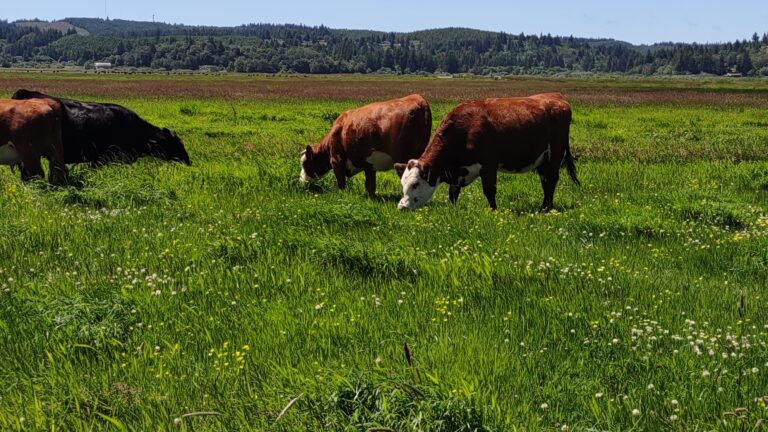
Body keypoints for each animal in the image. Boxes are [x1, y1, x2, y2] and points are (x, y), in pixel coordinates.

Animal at [300, 95, 432, 198]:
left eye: (305, 163)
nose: (301, 181)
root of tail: (417, 98)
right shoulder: (369, 164)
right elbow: (370, 185)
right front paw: (372, 199)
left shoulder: (336, 159)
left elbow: (341, 182)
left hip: (403, 158)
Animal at [392, 93, 580, 211]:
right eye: (402, 184)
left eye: (416, 184)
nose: (402, 207)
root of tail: (556, 98)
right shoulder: (457, 171)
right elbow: (453, 192)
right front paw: (453, 210)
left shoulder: (489, 165)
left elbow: (489, 191)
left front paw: (493, 211)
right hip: (542, 159)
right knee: (545, 181)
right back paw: (545, 206)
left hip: (554, 156)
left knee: (551, 180)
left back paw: (546, 208)